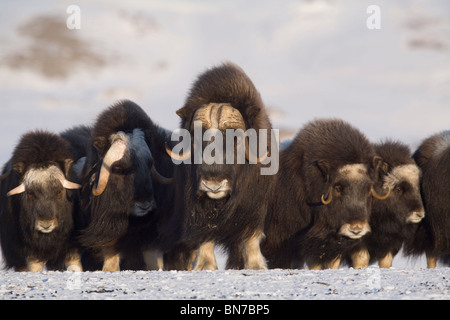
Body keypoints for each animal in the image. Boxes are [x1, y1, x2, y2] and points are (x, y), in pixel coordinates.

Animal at [164, 62, 276, 270]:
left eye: (236, 138)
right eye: (196, 137)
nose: (213, 183)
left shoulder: (254, 207)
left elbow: (251, 238)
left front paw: (256, 266)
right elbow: (204, 238)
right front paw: (205, 266)